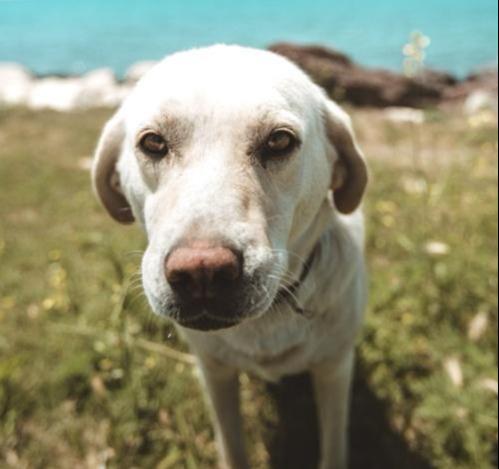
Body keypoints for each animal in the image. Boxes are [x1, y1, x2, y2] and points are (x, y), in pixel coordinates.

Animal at [92, 45, 370, 468]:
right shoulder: (215, 373)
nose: (201, 272)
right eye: (153, 143)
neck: (267, 320)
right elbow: (231, 444)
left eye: (279, 141)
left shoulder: (334, 370)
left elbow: (334, 445)